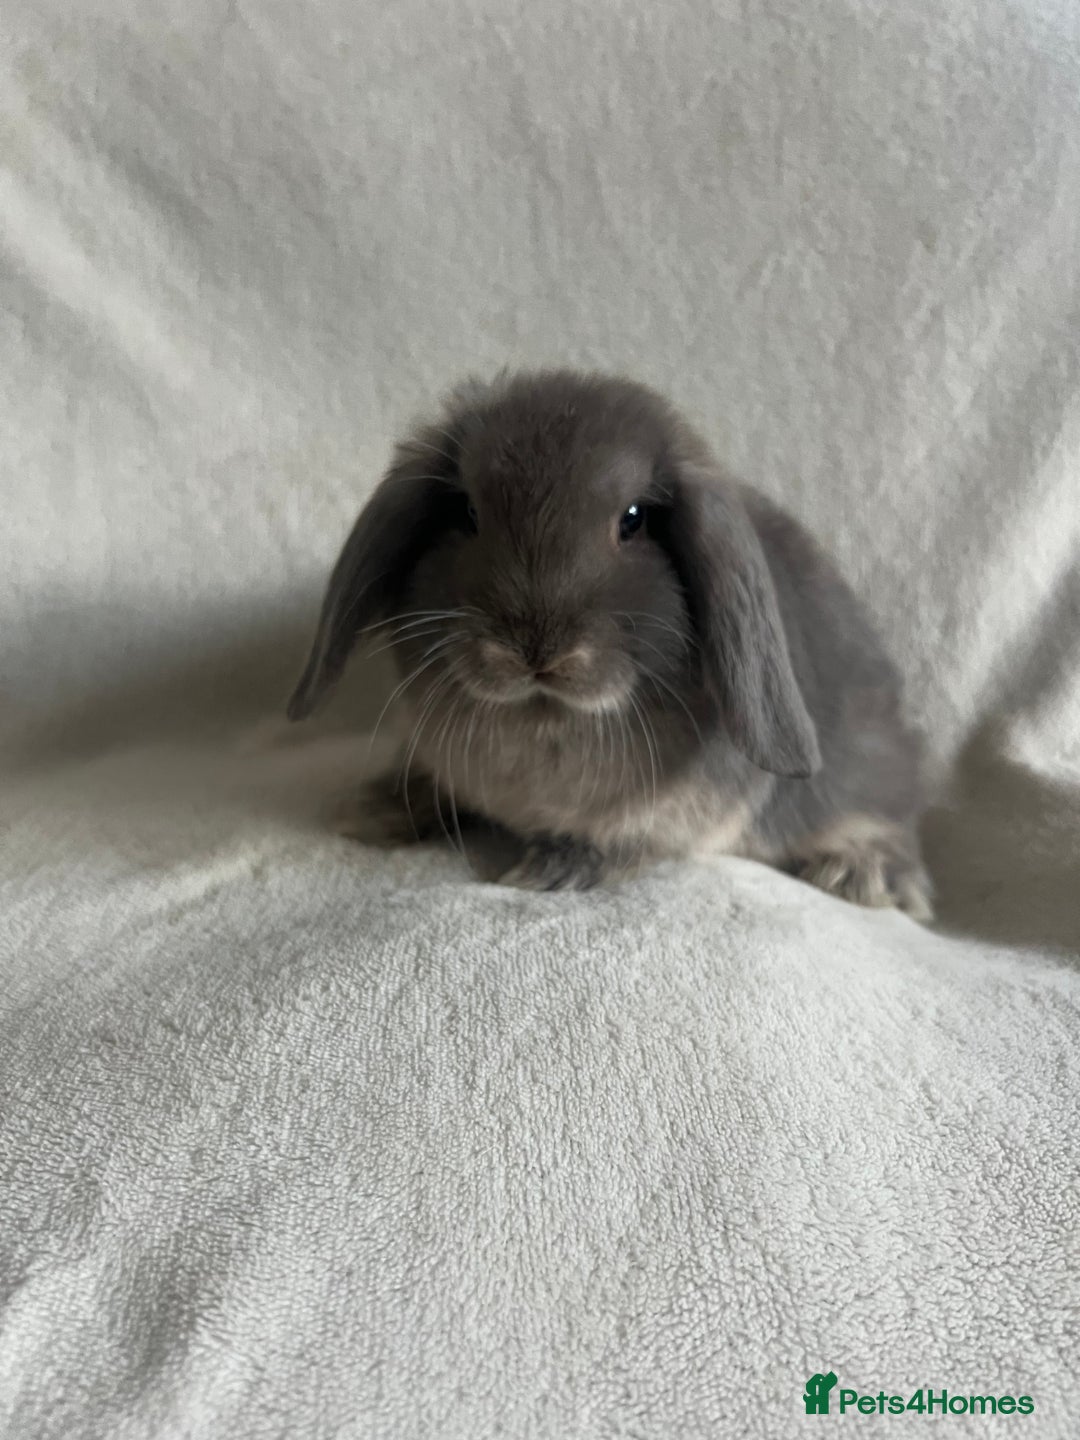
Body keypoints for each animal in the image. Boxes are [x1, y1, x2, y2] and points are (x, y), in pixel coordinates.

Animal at [287, 369, 932, 919]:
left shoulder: (675, 815)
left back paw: (864, 876)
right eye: (467, 512)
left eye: (634, 518)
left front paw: (554, 868)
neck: (544, 720)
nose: (535, 648)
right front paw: (373, 809)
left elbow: (628, 839)